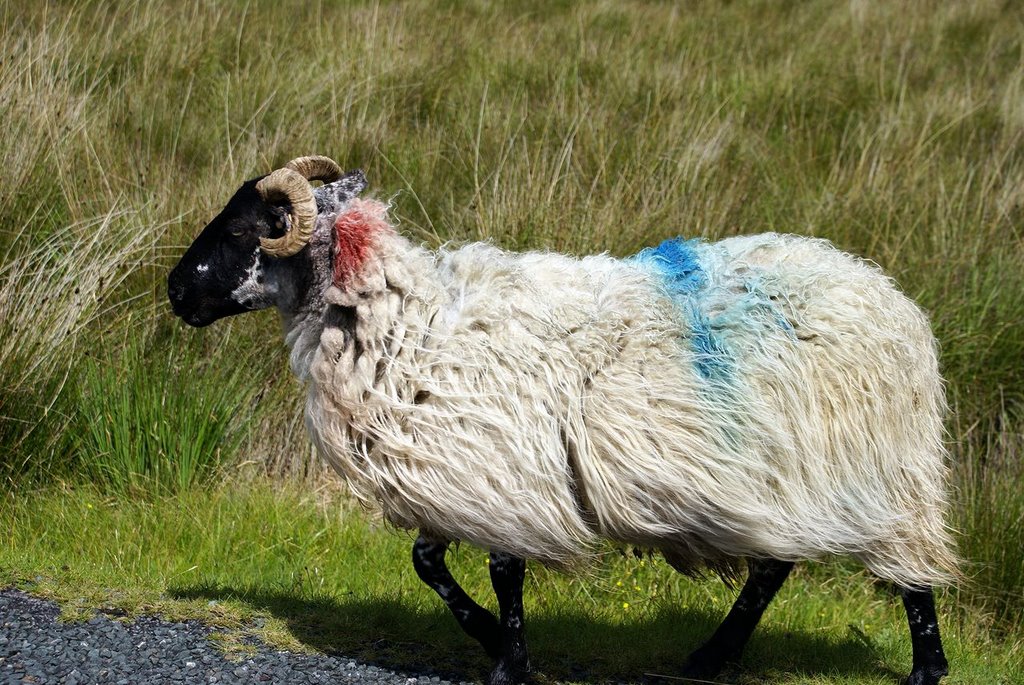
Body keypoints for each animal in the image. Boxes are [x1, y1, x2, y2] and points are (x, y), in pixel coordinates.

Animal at [167, 154, 958, 683]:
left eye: (243, 227)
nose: (174, 290)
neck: (404, 321)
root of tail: (896, 301)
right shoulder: (458, 469)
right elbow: (429, 562)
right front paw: (493, 640)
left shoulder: (500, 467)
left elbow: (500, 570)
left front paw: (506, 661)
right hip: (786, 469)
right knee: (773, 563)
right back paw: (712, 654)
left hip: (877, 460)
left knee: (904, 566)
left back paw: (926, 667)